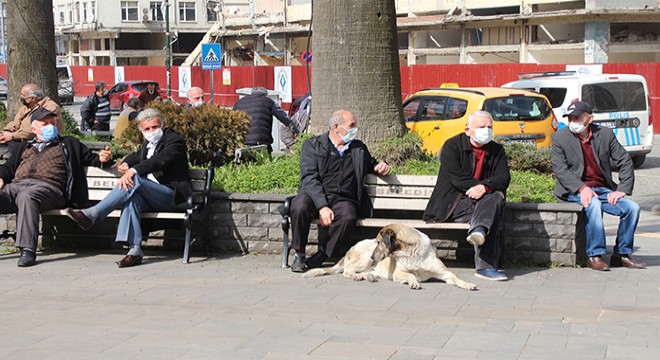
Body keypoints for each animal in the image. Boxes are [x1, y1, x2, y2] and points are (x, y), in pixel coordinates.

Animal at [302, 224, 476, 292]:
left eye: (379, 242)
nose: (373, 255)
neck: (411, 250)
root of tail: (348, 251)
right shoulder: (397, 273)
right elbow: (410, 275)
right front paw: (413, 282)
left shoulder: (443, 272)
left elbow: (455, 277)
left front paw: (467, 284)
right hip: (364, 258)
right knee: (346, 271)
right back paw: (357, 276)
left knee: (364, 272)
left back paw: (368, 277)